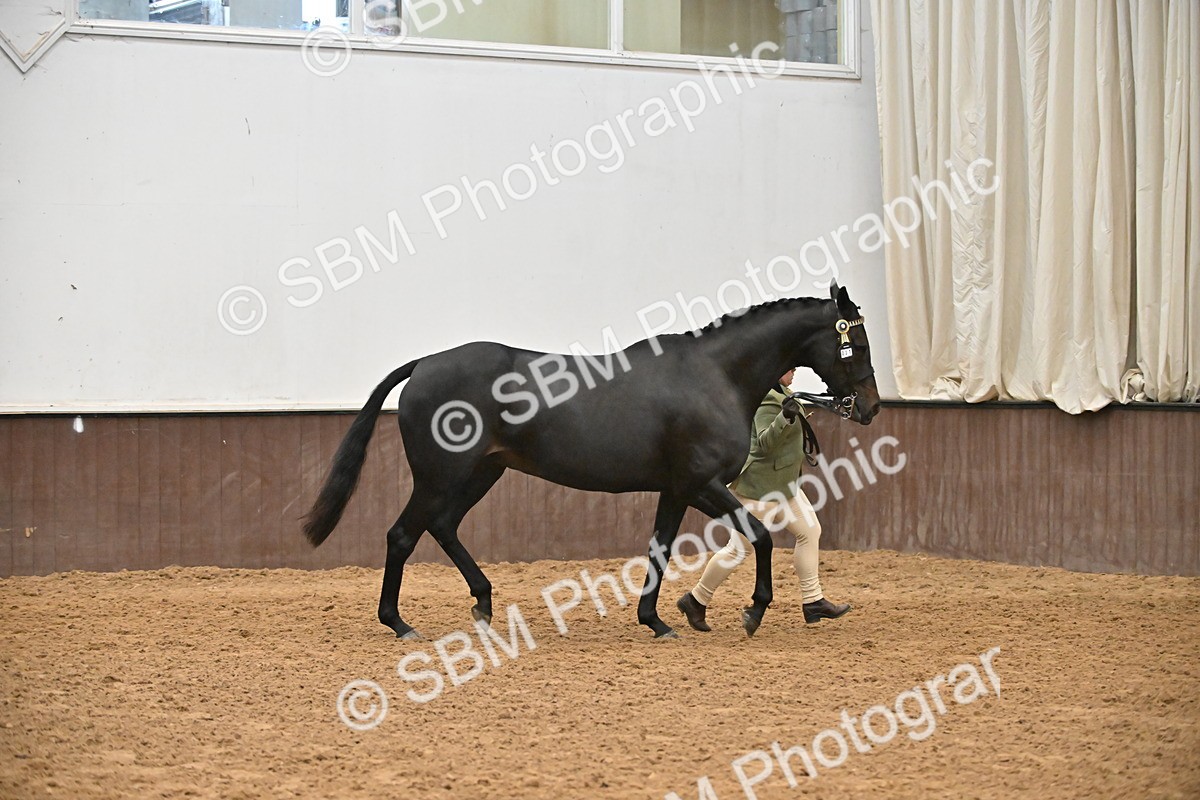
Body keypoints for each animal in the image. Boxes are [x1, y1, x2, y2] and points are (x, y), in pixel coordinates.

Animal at [302, 282, 880, 639]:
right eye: (856, 344)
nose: (870, 407)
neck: (714, 376)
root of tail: (425, 364)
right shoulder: (702, 483)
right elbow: (759, 535)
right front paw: (753, 610)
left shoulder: (676, 489)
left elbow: (660, 547)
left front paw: (658, 620)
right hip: (441, 477)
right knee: (403, 535)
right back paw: (399, 623)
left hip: (481, 472)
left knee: (442, 527)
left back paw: (483, 603)